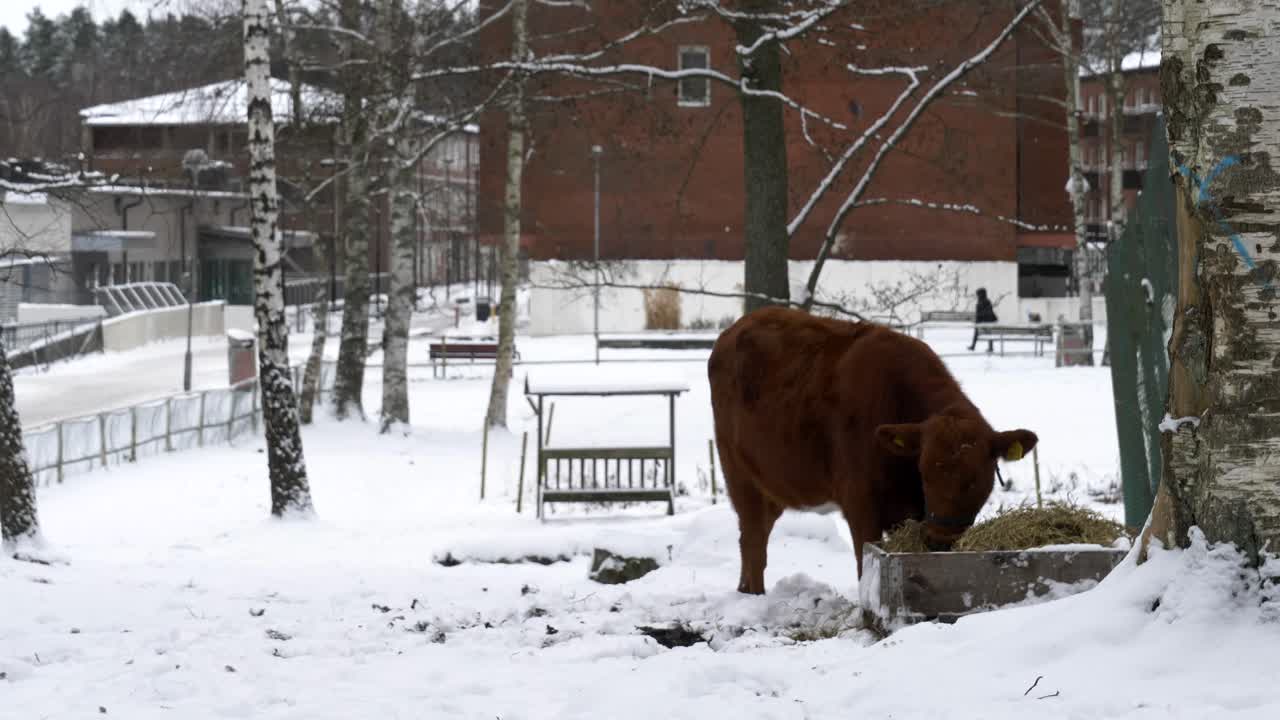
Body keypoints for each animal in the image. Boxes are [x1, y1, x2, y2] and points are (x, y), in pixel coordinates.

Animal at [708, 306, 1038, 595]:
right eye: (925, 473)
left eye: (976, 478)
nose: (939, 540)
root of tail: (739, 326)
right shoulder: (859, 501)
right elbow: (862, 564)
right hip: (738, 473)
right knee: (753, 540)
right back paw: (755, 594)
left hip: (772, 485)